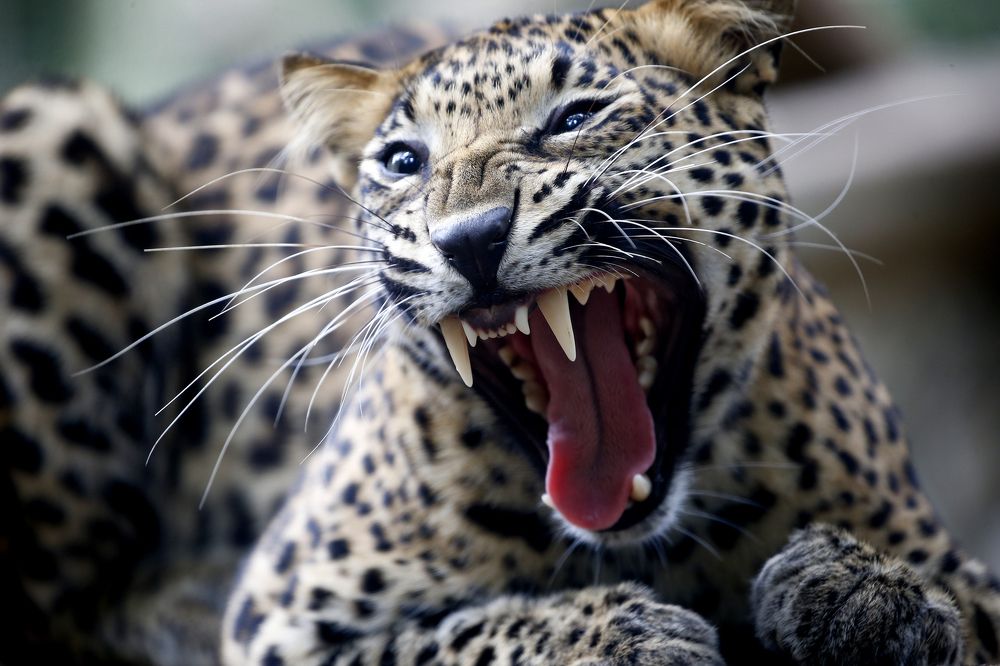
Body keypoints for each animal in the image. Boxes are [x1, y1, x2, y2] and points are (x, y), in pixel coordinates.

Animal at [1, 1, 998, 664]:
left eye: (574, 119)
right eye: (404, 161)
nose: (471, 239)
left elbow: (957, 595)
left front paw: (865, 590)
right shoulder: (284, 618)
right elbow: (453, 636)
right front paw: (618, 633)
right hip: (48, 125)